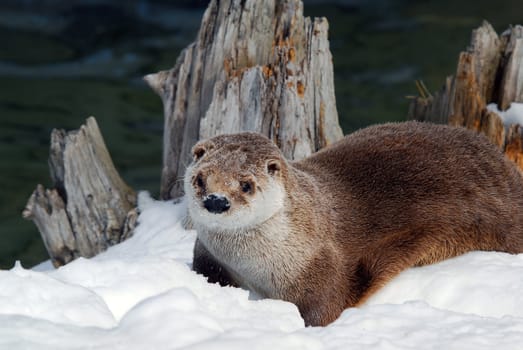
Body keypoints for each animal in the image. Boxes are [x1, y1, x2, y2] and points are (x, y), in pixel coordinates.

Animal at [183, 121, 523, 326]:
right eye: (200, 178)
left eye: (246, 185)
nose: (216, 200)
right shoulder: (209, 255)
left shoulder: (323, 267)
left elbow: (324, 309)